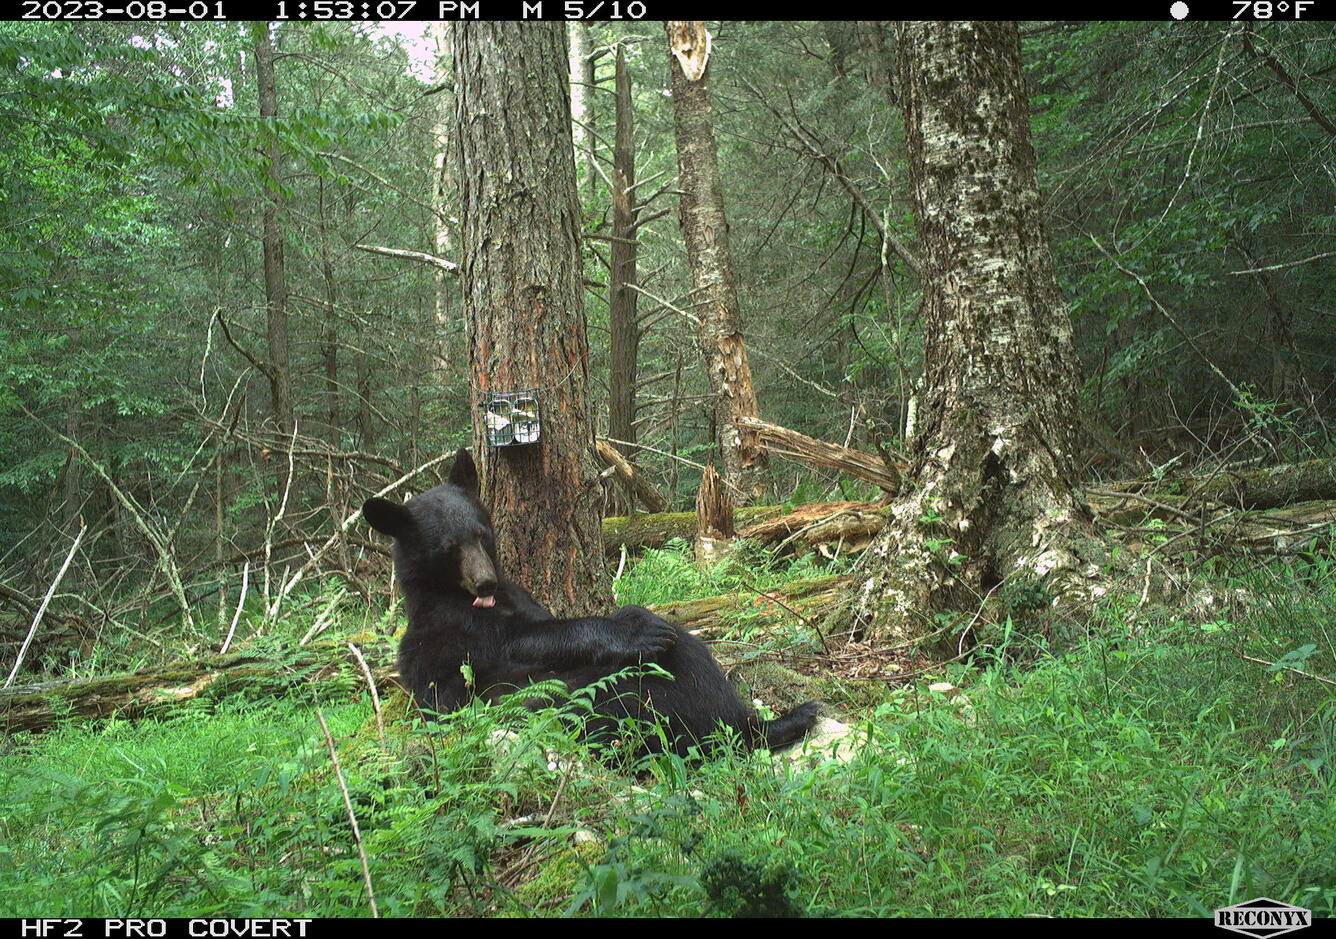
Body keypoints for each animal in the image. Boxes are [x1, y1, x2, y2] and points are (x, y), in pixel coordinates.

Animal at [362, 448, 819, 758]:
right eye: (448, 547)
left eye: (481, 533)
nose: (485, 582)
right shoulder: (457, 626)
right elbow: (524, 639)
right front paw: (635, 634)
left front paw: (641, 620)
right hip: (573, 702)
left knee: (690, 656)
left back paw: (776, 722)